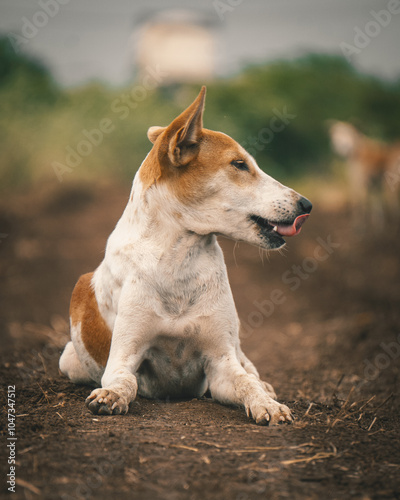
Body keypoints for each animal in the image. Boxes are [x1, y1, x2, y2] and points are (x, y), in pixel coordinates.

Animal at [58, 88, 312, 424]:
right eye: (239, 164)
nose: (307, 205)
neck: (178, 260)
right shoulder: (124, 357)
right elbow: (125, 381)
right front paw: (110, 395)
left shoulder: (221, 362)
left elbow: (246, 382)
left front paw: (267, 403)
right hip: (69, 360)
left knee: (251, 370)